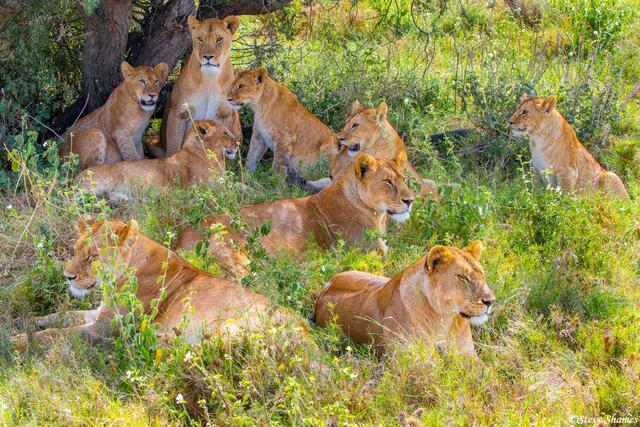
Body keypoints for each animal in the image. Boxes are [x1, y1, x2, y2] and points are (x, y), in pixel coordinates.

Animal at [10, 217, 305, 350]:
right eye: (74, 251)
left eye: (92, 256)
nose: (67, 277)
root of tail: (306, 332)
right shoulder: (100, 313)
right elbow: (61, 315)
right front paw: (25, 323)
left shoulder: (108, 327)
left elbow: (58, 334)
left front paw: (18, 341)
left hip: (231, 326)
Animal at [75, 120, 239, 204]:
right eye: (226, 133)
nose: (238, 144)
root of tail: (76, 177)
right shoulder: (205, 187)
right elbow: (233, 189)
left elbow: (238, 185)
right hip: (97, 184)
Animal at [157, 15, 242, 158]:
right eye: (200, 39)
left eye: (219, 39)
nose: (207, 56)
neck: (210, 79)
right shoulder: (178, 114)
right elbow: (174, 147)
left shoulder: (226, 115)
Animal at [174, 153, 415, 277]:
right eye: (388, 181)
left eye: (404, 179)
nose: (410, 200)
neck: (378, 216)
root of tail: (178, 241)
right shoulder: (370, 253)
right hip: (235, 255)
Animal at [314, 241, 495, 356]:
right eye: (462, 277)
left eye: (482, 274)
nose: (490, 301)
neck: (443, 320)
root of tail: (327, 286)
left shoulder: (468, 356)